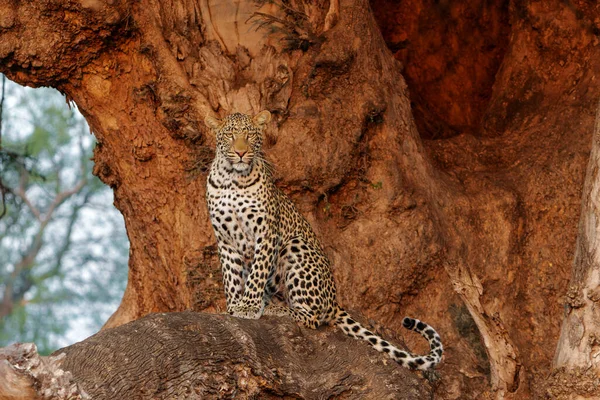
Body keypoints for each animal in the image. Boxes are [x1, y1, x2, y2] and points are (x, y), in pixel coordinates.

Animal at [204, 110, 442, 372]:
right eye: (229, 135)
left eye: (250, 136)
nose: (240, 153)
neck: (231, 179)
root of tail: (335, 301)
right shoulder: (224, 239)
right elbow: (230, 278)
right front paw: (234, 305)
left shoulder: (266, 233)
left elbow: (256, 274)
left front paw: (249, 306)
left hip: (295, 246)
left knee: (312, 316)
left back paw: (277, 309)